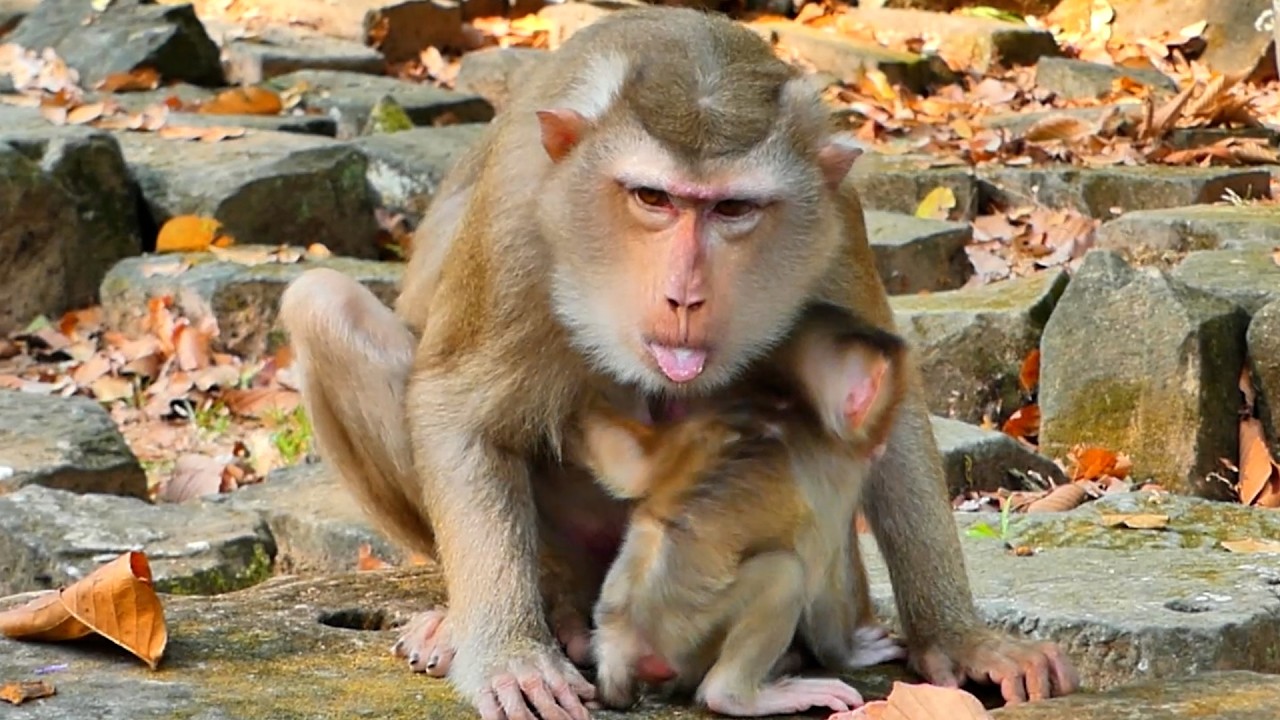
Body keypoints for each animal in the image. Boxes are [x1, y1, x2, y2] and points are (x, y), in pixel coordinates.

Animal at [571, 303, 909, 716]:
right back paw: (737, 695)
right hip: (685, 639)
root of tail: (621, 648)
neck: (790, 401)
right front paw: (849, 653)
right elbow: (820, 582)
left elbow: (633, 467)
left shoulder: (703, 419)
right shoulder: (837, 477)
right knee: (784, 574)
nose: (882, 444)